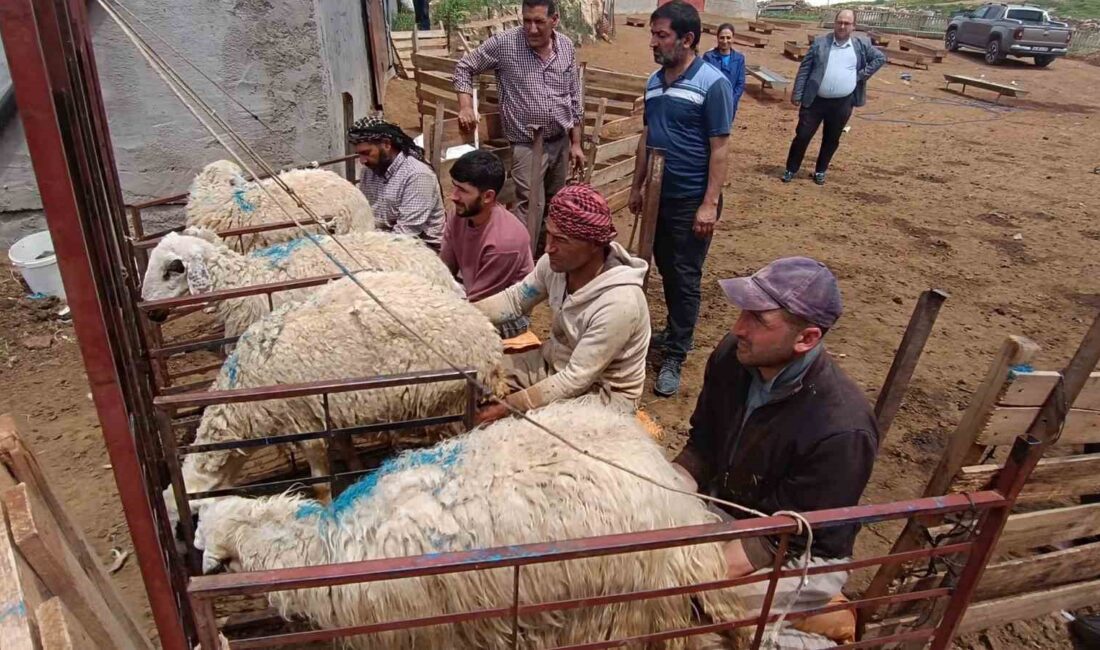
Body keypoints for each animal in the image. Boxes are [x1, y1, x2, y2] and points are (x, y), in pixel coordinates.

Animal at [167, 271, 506, 536]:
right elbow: (344, 445)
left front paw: (325, 507)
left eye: (191, 518)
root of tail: (489, 341)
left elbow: (319, 483)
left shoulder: (305, 425)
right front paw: (355, 468)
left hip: (447, 398)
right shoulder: (333, 410)